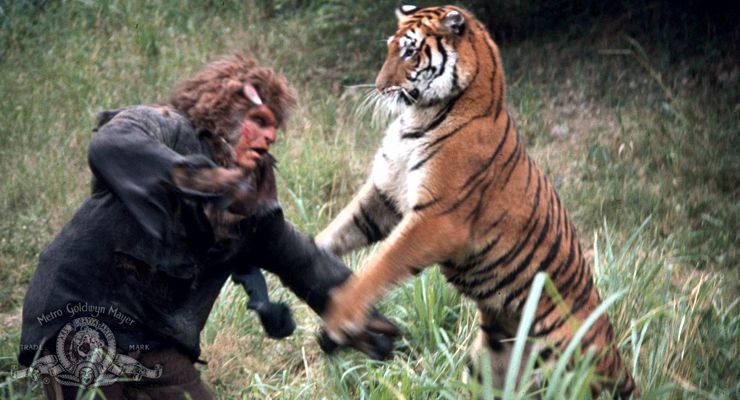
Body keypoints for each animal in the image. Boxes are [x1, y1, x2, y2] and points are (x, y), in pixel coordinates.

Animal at [316, 4, 636, 398]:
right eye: (391, 47)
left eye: (409, 52)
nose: (378, 86)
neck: (416, 118)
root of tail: (616, 356)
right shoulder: (386, 194)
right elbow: (343, 228)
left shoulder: (438, 219)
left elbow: (383, 264)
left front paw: (342, 314)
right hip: (490, 361)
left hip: (567, 371)